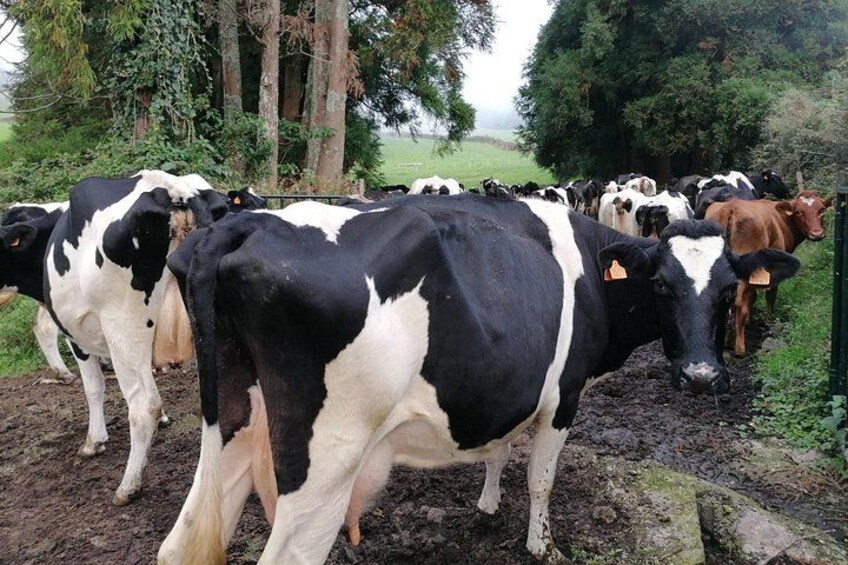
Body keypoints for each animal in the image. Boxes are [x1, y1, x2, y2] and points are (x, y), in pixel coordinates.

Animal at [38, 170, 227, 505]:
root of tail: (174, 189)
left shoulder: (79, 337)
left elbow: (94, 387)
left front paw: (94, 441)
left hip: (124, 327)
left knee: (142, 406)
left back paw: (128, 486)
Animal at [158, 195, 799, 564]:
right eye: (663, 285)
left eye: (727, 291)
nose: (701, 376)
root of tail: (241, 224)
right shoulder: (563, 396)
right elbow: (540, 479)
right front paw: (542, 545)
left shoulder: (508, 387)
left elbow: (500, 449)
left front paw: (488, 504)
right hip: (326, 459)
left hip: (232, 421)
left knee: (181, 542)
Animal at [706, 191, 830, 356]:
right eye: (799, 211)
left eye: (821, 209)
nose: (817, 234)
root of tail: (730, 207)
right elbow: (770, 295)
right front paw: (769, 321)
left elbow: (752, 297)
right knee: (738, 303)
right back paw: (739, 347)